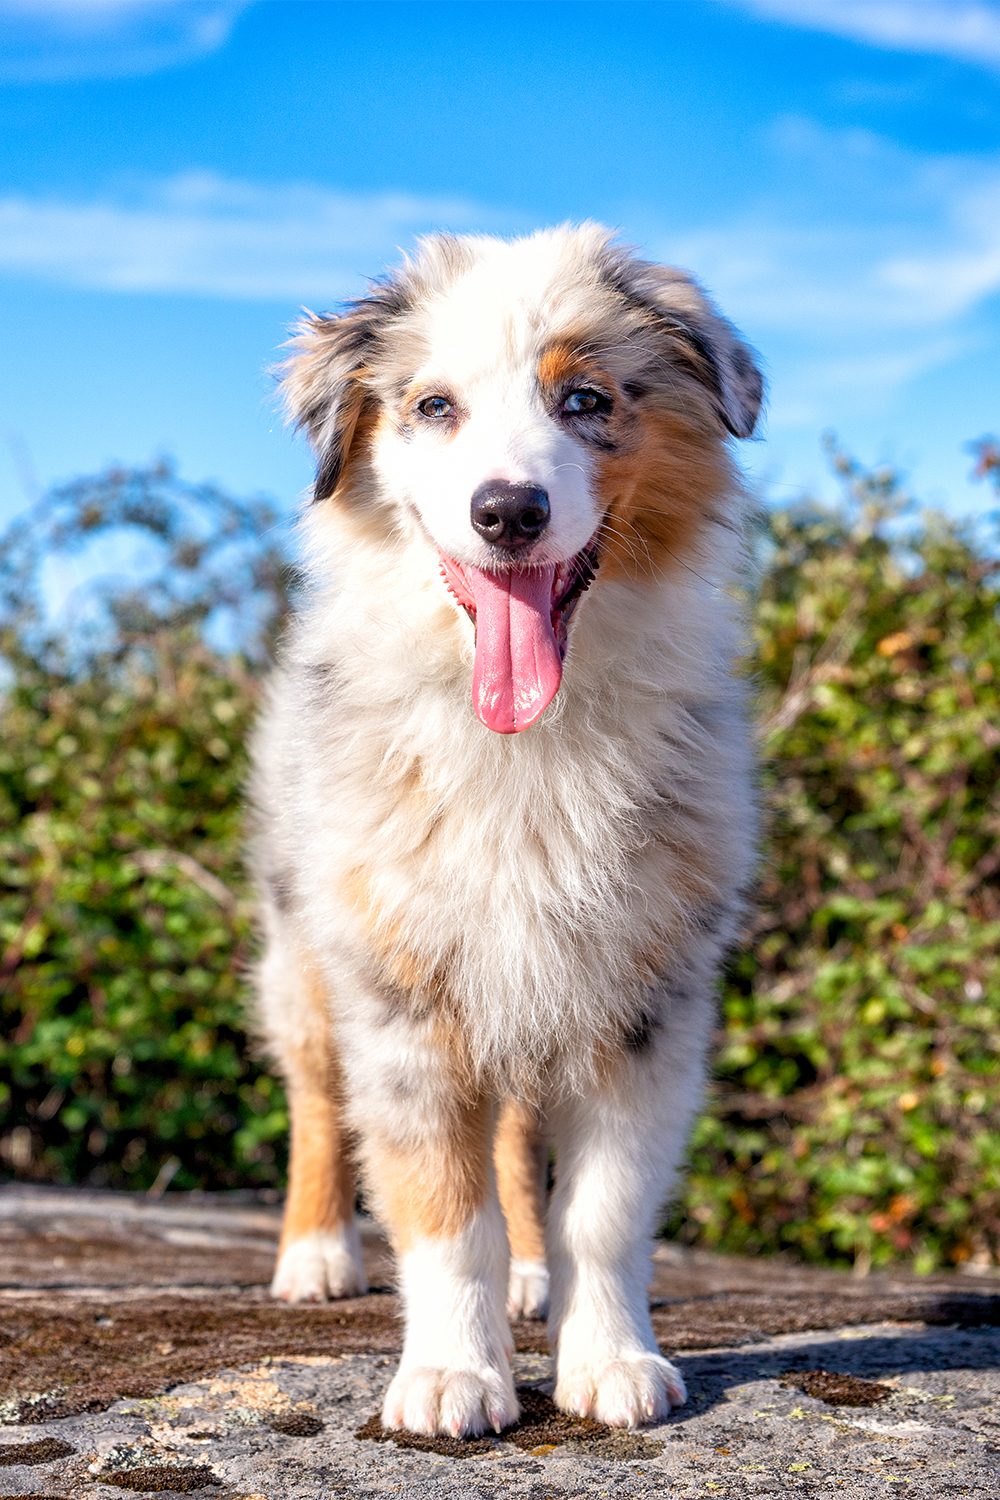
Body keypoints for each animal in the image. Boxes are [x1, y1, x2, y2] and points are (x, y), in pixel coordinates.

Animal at [245, 222, 761, 1440]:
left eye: (585, 399)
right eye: (434, 407)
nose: (507, 513)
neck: (530, 741)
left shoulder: (645, 994)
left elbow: (603, 1209)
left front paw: (610, 1361)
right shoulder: (401, 994)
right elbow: (443, 1208)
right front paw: (448, 1377)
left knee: (523, 1140)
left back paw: (533, 1281)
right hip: (302, 952)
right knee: (313, 1096)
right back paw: (316, 1254)